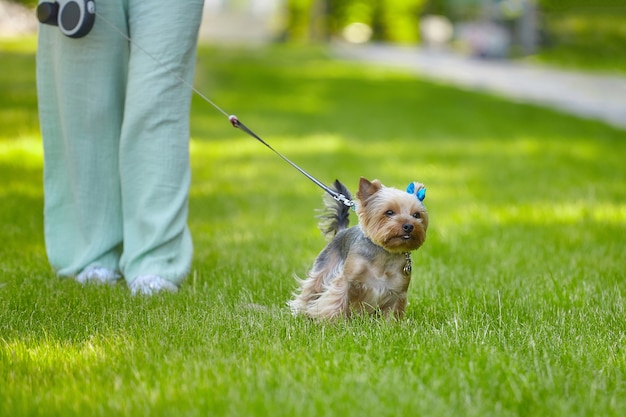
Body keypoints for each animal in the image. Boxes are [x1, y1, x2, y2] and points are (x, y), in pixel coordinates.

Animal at [288, 176, 426, 318]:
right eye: (389, 212)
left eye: (416, 215)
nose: (409, 226)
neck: (385, 253)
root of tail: (342, 230)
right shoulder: (346, 279)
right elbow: (337, 300)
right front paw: (331, 320)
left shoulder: (398, 291)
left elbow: (393, 312)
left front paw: (391, 323)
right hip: (324, 269)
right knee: (311, 288)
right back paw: (299, 312)